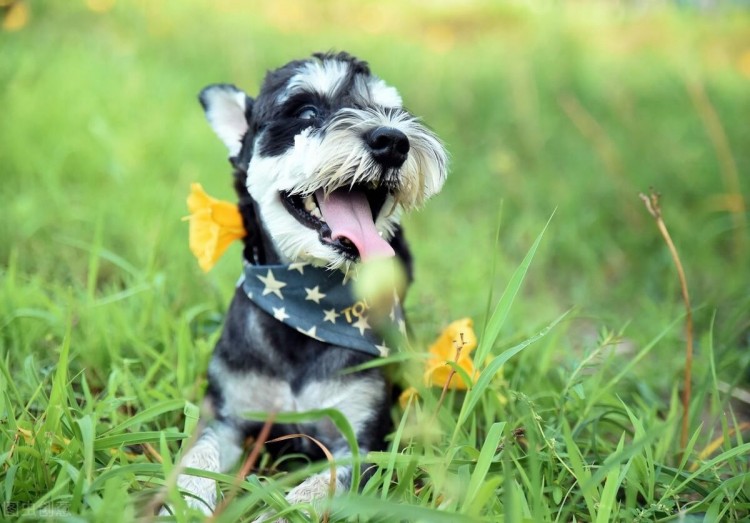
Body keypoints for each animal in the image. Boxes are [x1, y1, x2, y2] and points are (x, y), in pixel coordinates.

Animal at [167, 51, 450, 516]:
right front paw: (185, 506)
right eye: (306, 111)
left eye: (391, 110)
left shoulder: (360, 443)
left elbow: (311, 493)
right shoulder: (225, 418)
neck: (305, 315)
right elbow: (196, 462)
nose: (393, 141)